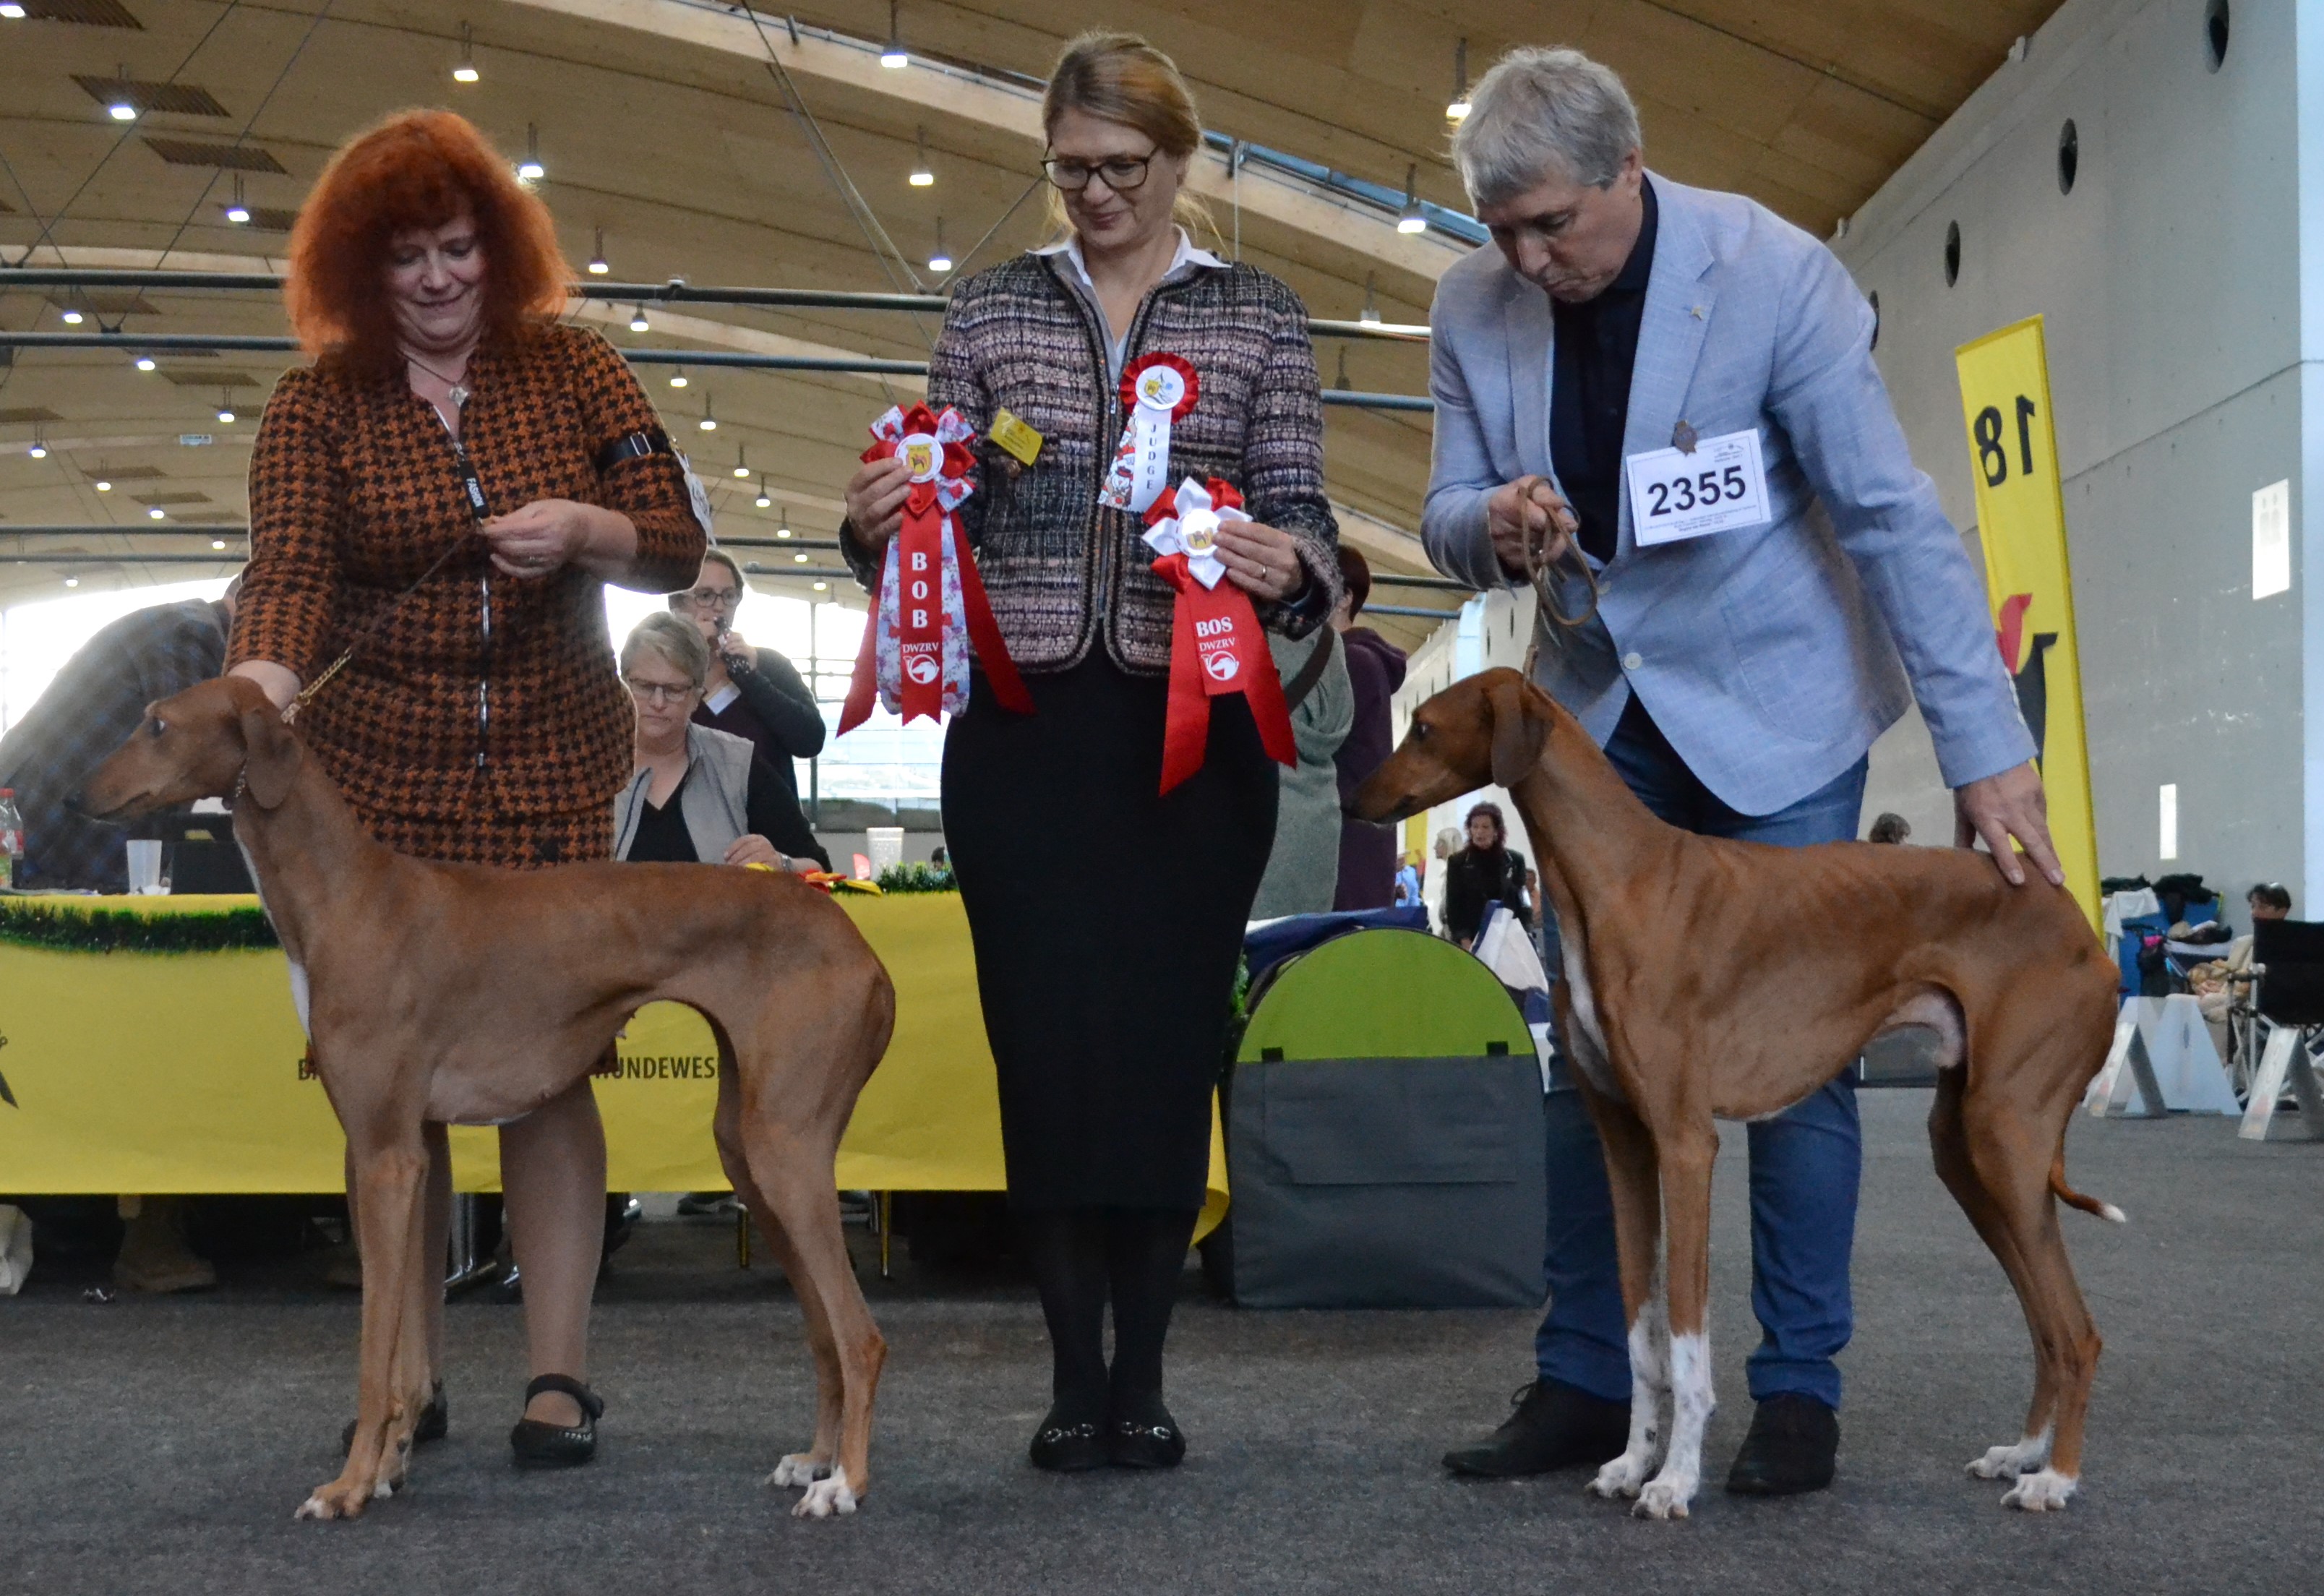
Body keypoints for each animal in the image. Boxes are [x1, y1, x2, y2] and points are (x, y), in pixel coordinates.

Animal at [81, 676, 894, 1522]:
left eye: (157, 725)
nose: (79, 795)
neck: (349, 894)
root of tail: (859, 947)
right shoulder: (398, 1153)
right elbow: (405, 1351)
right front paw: (386, 1467)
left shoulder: (383, 1155)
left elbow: (373, 1353)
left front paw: (346, 1488)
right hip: (749, 1149)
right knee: (824, 1334)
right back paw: (816, 1458)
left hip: (785, 1149)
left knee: (861, 1338)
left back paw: (846, 1483)